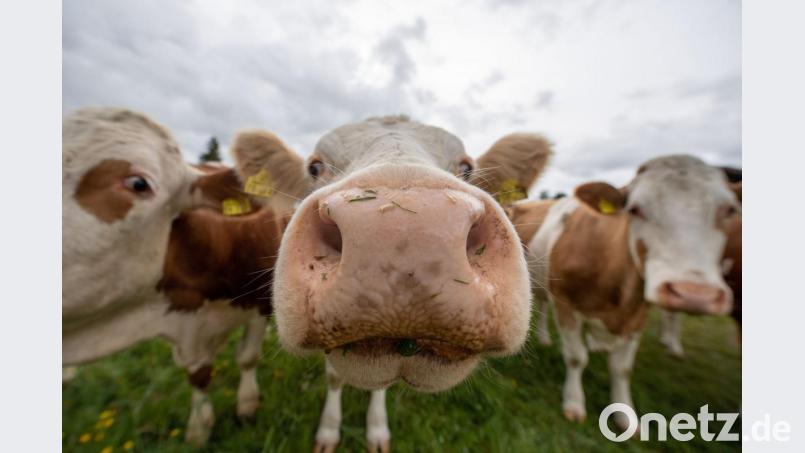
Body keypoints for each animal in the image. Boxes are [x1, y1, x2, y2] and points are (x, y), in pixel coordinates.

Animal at [62, 108, 297, 445]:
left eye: (138, 183)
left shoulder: (259, 302)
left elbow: (247, 357)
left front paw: (247, 407)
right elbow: (198, 374)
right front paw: (199, 429)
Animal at [231, 116, 552, 452]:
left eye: (467, 168)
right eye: (314, 167)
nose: (403, 231)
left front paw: (376, 430)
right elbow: (334, 380)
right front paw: (329, 431)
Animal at [508, 155, 740, 431]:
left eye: (730, 210)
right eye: (635, 209)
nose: (695, 294)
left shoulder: (638, 315)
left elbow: (622, 368)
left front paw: (625, 417)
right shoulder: (566, 303)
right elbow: (576, 357)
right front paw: (574, 404)